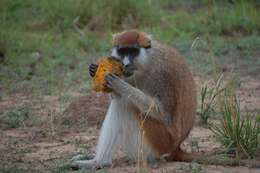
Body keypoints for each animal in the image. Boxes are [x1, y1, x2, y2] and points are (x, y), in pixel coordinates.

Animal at [70, 29, 196, 169]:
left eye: (133, 51)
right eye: (122, 51)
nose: (126, 64)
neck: (148, 61)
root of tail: (175, 149)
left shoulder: (162, 74)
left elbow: (162, 112)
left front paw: (119, 84)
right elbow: (117, 95)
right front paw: (94, 69)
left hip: (159, 141)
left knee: (124, 104)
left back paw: (100, 162)